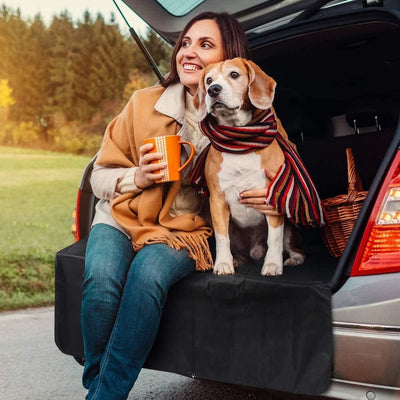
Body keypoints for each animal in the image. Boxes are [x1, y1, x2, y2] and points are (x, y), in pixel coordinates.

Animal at [193, 57, 304, 276]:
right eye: (208, 80)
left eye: (234, 74)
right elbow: (221, 238)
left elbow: (274, 238)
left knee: (294, 248)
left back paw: (293, 259)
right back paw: (236, 260)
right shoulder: (217, 201)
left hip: (290, 229)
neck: (239, 142)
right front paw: (224, 263)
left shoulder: (272, 197)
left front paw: (273, 264)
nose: (213, 90)